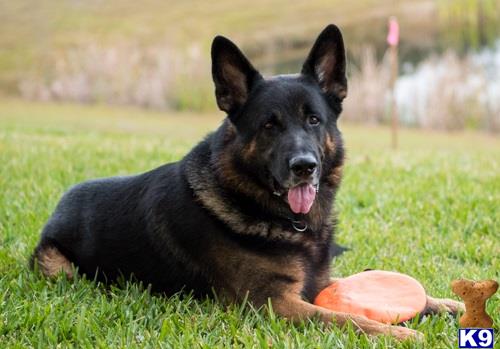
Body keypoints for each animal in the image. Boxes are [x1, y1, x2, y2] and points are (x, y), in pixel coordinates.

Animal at [30, 24, 460, 340]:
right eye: (269, 125)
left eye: (313, 120)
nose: (304, 167)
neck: (286, 221)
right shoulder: (275, 303)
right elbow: (346, 318)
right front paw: (403, 335)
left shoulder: (317, 283)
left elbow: (415, 298)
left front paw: (451, 305)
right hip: (57, 267)